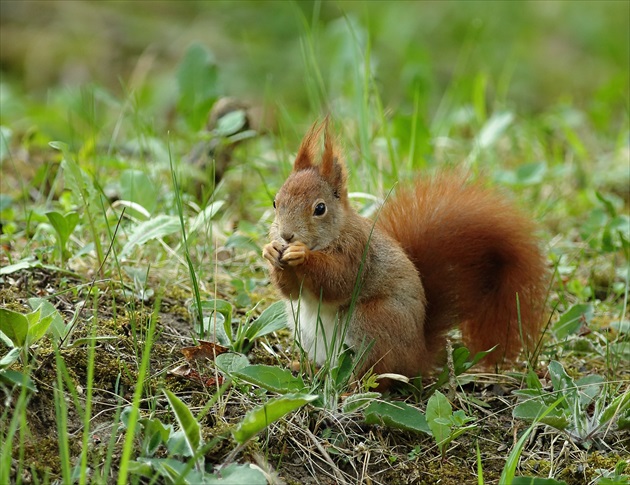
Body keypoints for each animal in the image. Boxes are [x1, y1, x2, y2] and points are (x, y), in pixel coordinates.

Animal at [262, 122, 548, 390]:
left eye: (320, 208)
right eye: (275, 202)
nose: (286, 235)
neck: (333, 235)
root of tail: (417, 356)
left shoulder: (357, 253)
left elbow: (337, 281)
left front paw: (302, 255)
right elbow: (292, 292)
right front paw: (270, 252)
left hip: (372, 321)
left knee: (378, 375)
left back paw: (351, 389)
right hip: (306, 331)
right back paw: (309, 368)